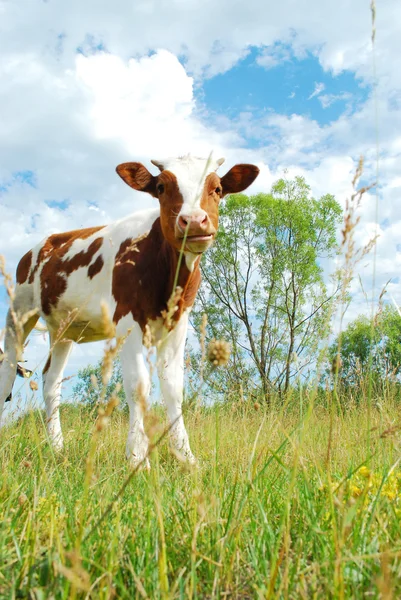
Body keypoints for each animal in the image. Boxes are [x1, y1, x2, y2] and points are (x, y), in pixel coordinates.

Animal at [0, 154, 260, 464]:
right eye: (161, 187)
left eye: (217, 188)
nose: (194, 221)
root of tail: (46, 241)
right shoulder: (127, 320)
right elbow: (138, 386)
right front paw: (137, 455)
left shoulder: (178, 323)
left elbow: (173, 388)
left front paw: (186, 456)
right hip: (19, 311)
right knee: (7, 371)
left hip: (64, 328)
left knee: (51, 381)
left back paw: (58, 447)